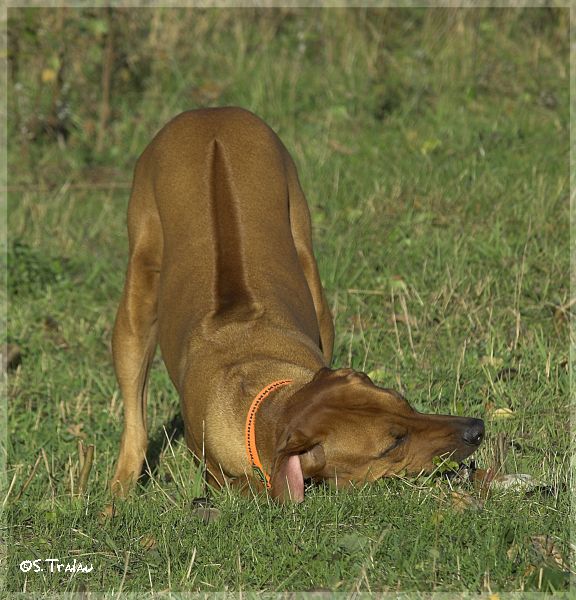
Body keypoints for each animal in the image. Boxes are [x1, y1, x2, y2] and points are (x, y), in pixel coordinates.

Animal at [110, 106, 484, 502]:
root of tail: (208, 111)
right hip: (135, 300)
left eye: (405, 403)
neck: (262, 399)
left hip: (306, 257)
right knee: (135, 419)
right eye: (393, 444)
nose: (477, 428)